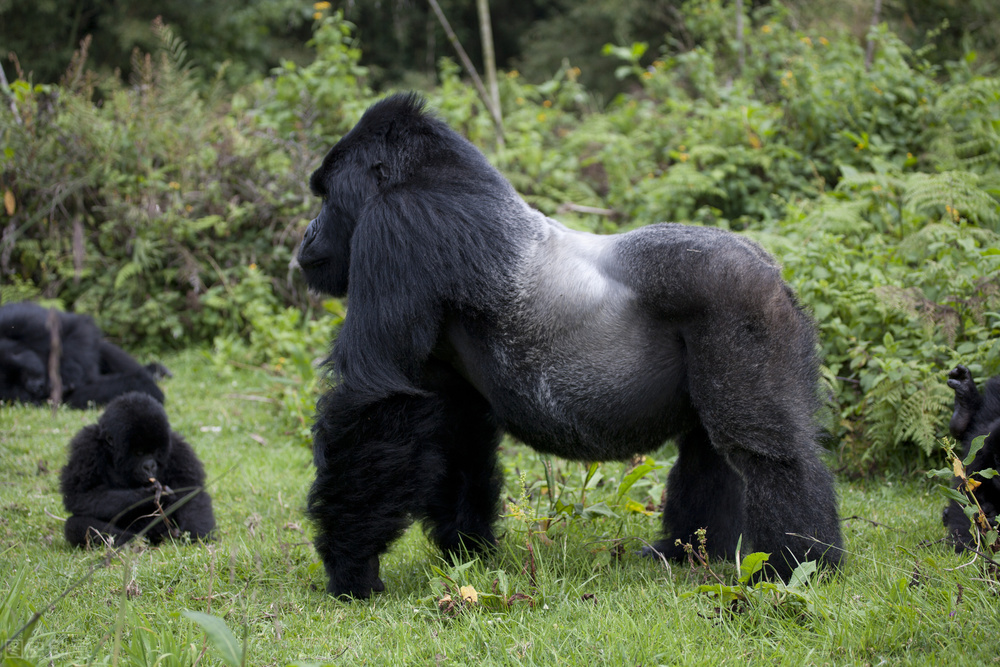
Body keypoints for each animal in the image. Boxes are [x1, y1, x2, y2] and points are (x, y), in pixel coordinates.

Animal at [0, 302, 169, 408]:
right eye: (17, 388)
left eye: (23, 373)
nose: (35, 388)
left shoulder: (22, 319)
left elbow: (77, 328)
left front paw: (69, 376)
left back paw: (153, 371)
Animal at [60, 392, 215, 548]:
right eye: (139, 452)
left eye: (154, 451)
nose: (149, 466)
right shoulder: (86, 447)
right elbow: (80, 496)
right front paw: (146, 496)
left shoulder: (179, 449)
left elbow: (192, 496)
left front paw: (198, 538)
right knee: (75, 524)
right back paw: (131, 543)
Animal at [296, 94, 844, 600]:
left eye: (326, 196)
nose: (306, 233)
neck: (427, 175)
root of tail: (775, 273)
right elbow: (456, 427)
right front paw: (466, 550)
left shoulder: (396, 227)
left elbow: (376, 404)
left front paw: (351, 570)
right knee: (710, 446)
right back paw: (684, 553)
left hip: (743, 302)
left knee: (767, 451)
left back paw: (798, 566)